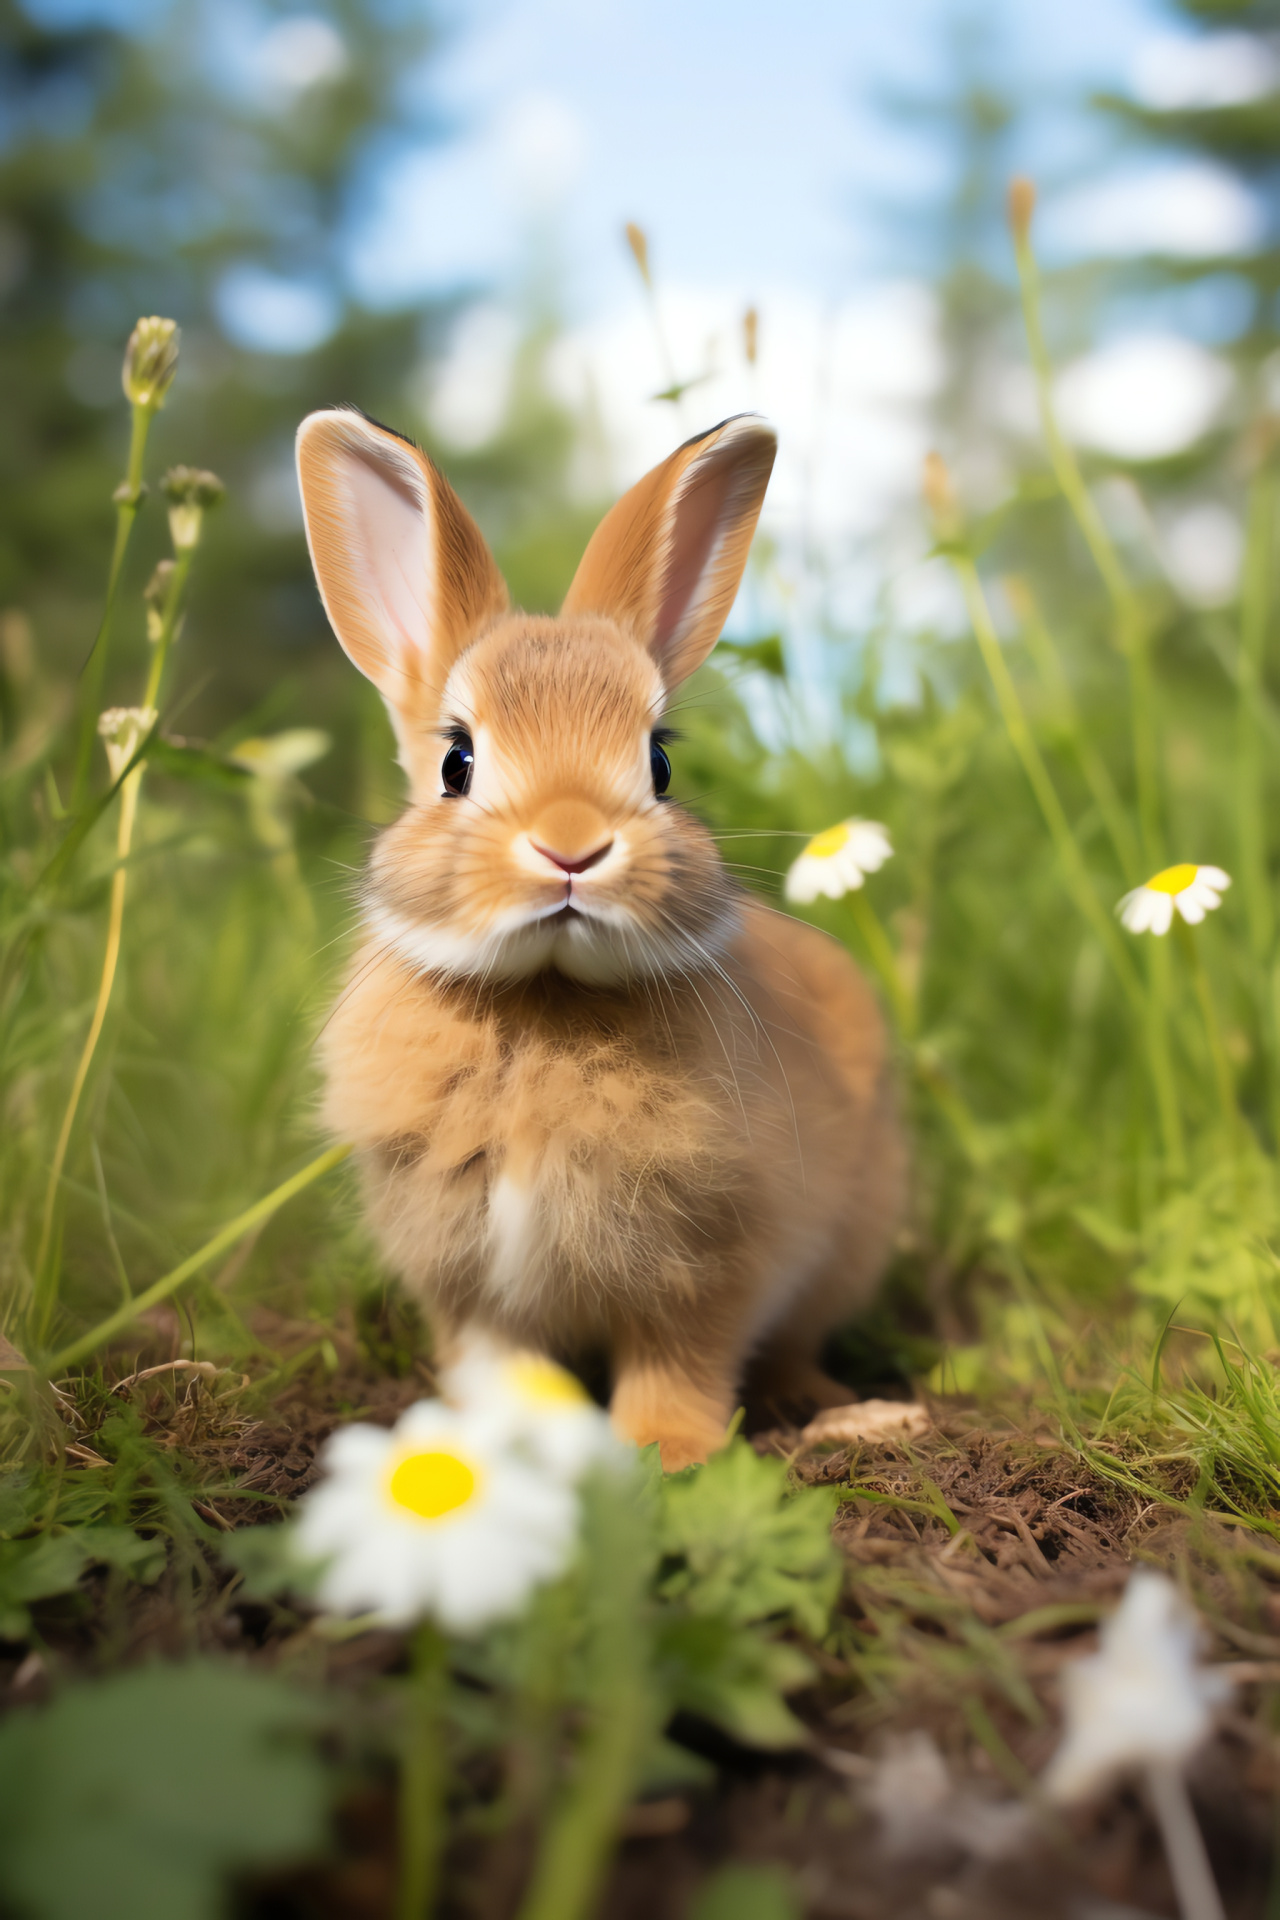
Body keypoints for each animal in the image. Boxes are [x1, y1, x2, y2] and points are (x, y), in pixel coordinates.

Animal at [297, 405, 905, 1466]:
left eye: (658, 763)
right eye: (456, 761)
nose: (572, 846)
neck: (543, 997)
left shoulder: (711, 1259)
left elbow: (682, 1362)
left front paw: (668, 1455)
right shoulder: (466, 1281)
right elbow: (499, 1368)